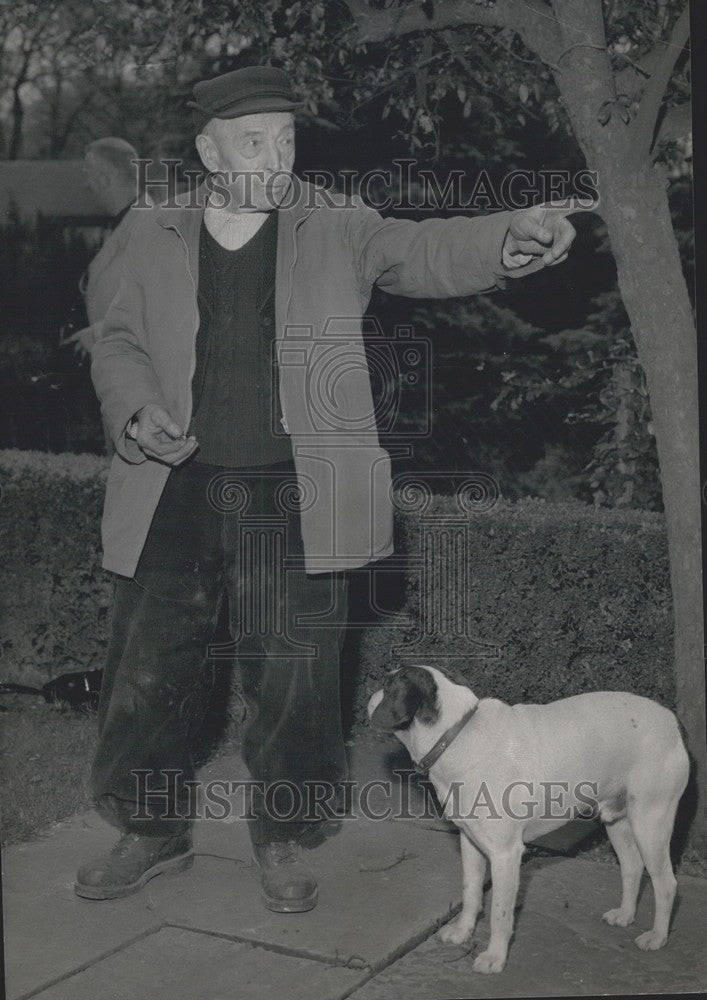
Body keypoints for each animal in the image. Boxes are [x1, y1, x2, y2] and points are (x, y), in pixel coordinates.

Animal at [368, 668, 688, 972]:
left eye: (386, 685)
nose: (370, 695)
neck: (455, 735)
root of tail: (671, 721)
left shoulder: (505, 855)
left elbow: (500, 913)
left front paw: (495, 958)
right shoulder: (470, 843)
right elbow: (471, 892)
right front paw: (462, 932)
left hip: (650, 825)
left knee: (666, 883)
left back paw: (657, 937)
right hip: (618, 824)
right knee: (632, 867)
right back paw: (625, 915)